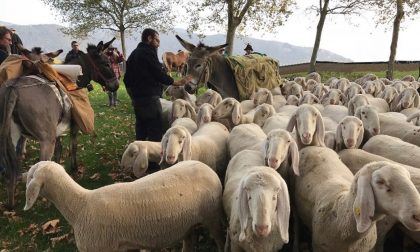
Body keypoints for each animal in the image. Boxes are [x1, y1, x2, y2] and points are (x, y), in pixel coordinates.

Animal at [24, 160, 225, 252]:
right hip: (187, 223)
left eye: (32, 175)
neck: (80, 206)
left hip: (213, 215)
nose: (22, 174)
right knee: (189, 240)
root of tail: (208, 168)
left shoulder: (101, 247)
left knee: (219, 238)